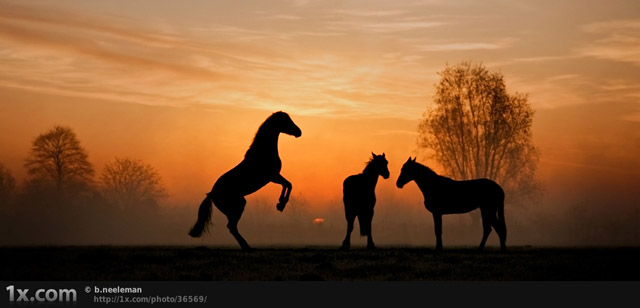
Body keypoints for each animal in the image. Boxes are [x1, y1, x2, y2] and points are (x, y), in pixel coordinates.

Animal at [189, 110, 302, 250]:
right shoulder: (272, 176)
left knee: (232, 227)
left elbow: (288, 184)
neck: (263, 152)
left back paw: (246, 246)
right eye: (286, 121)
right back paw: (247, 246)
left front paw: (280, 204)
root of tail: (212, 193)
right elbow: (288, 184)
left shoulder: (274, 177)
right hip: (238, 205)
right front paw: (281, 204)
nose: (299, 132)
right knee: (232, 227)